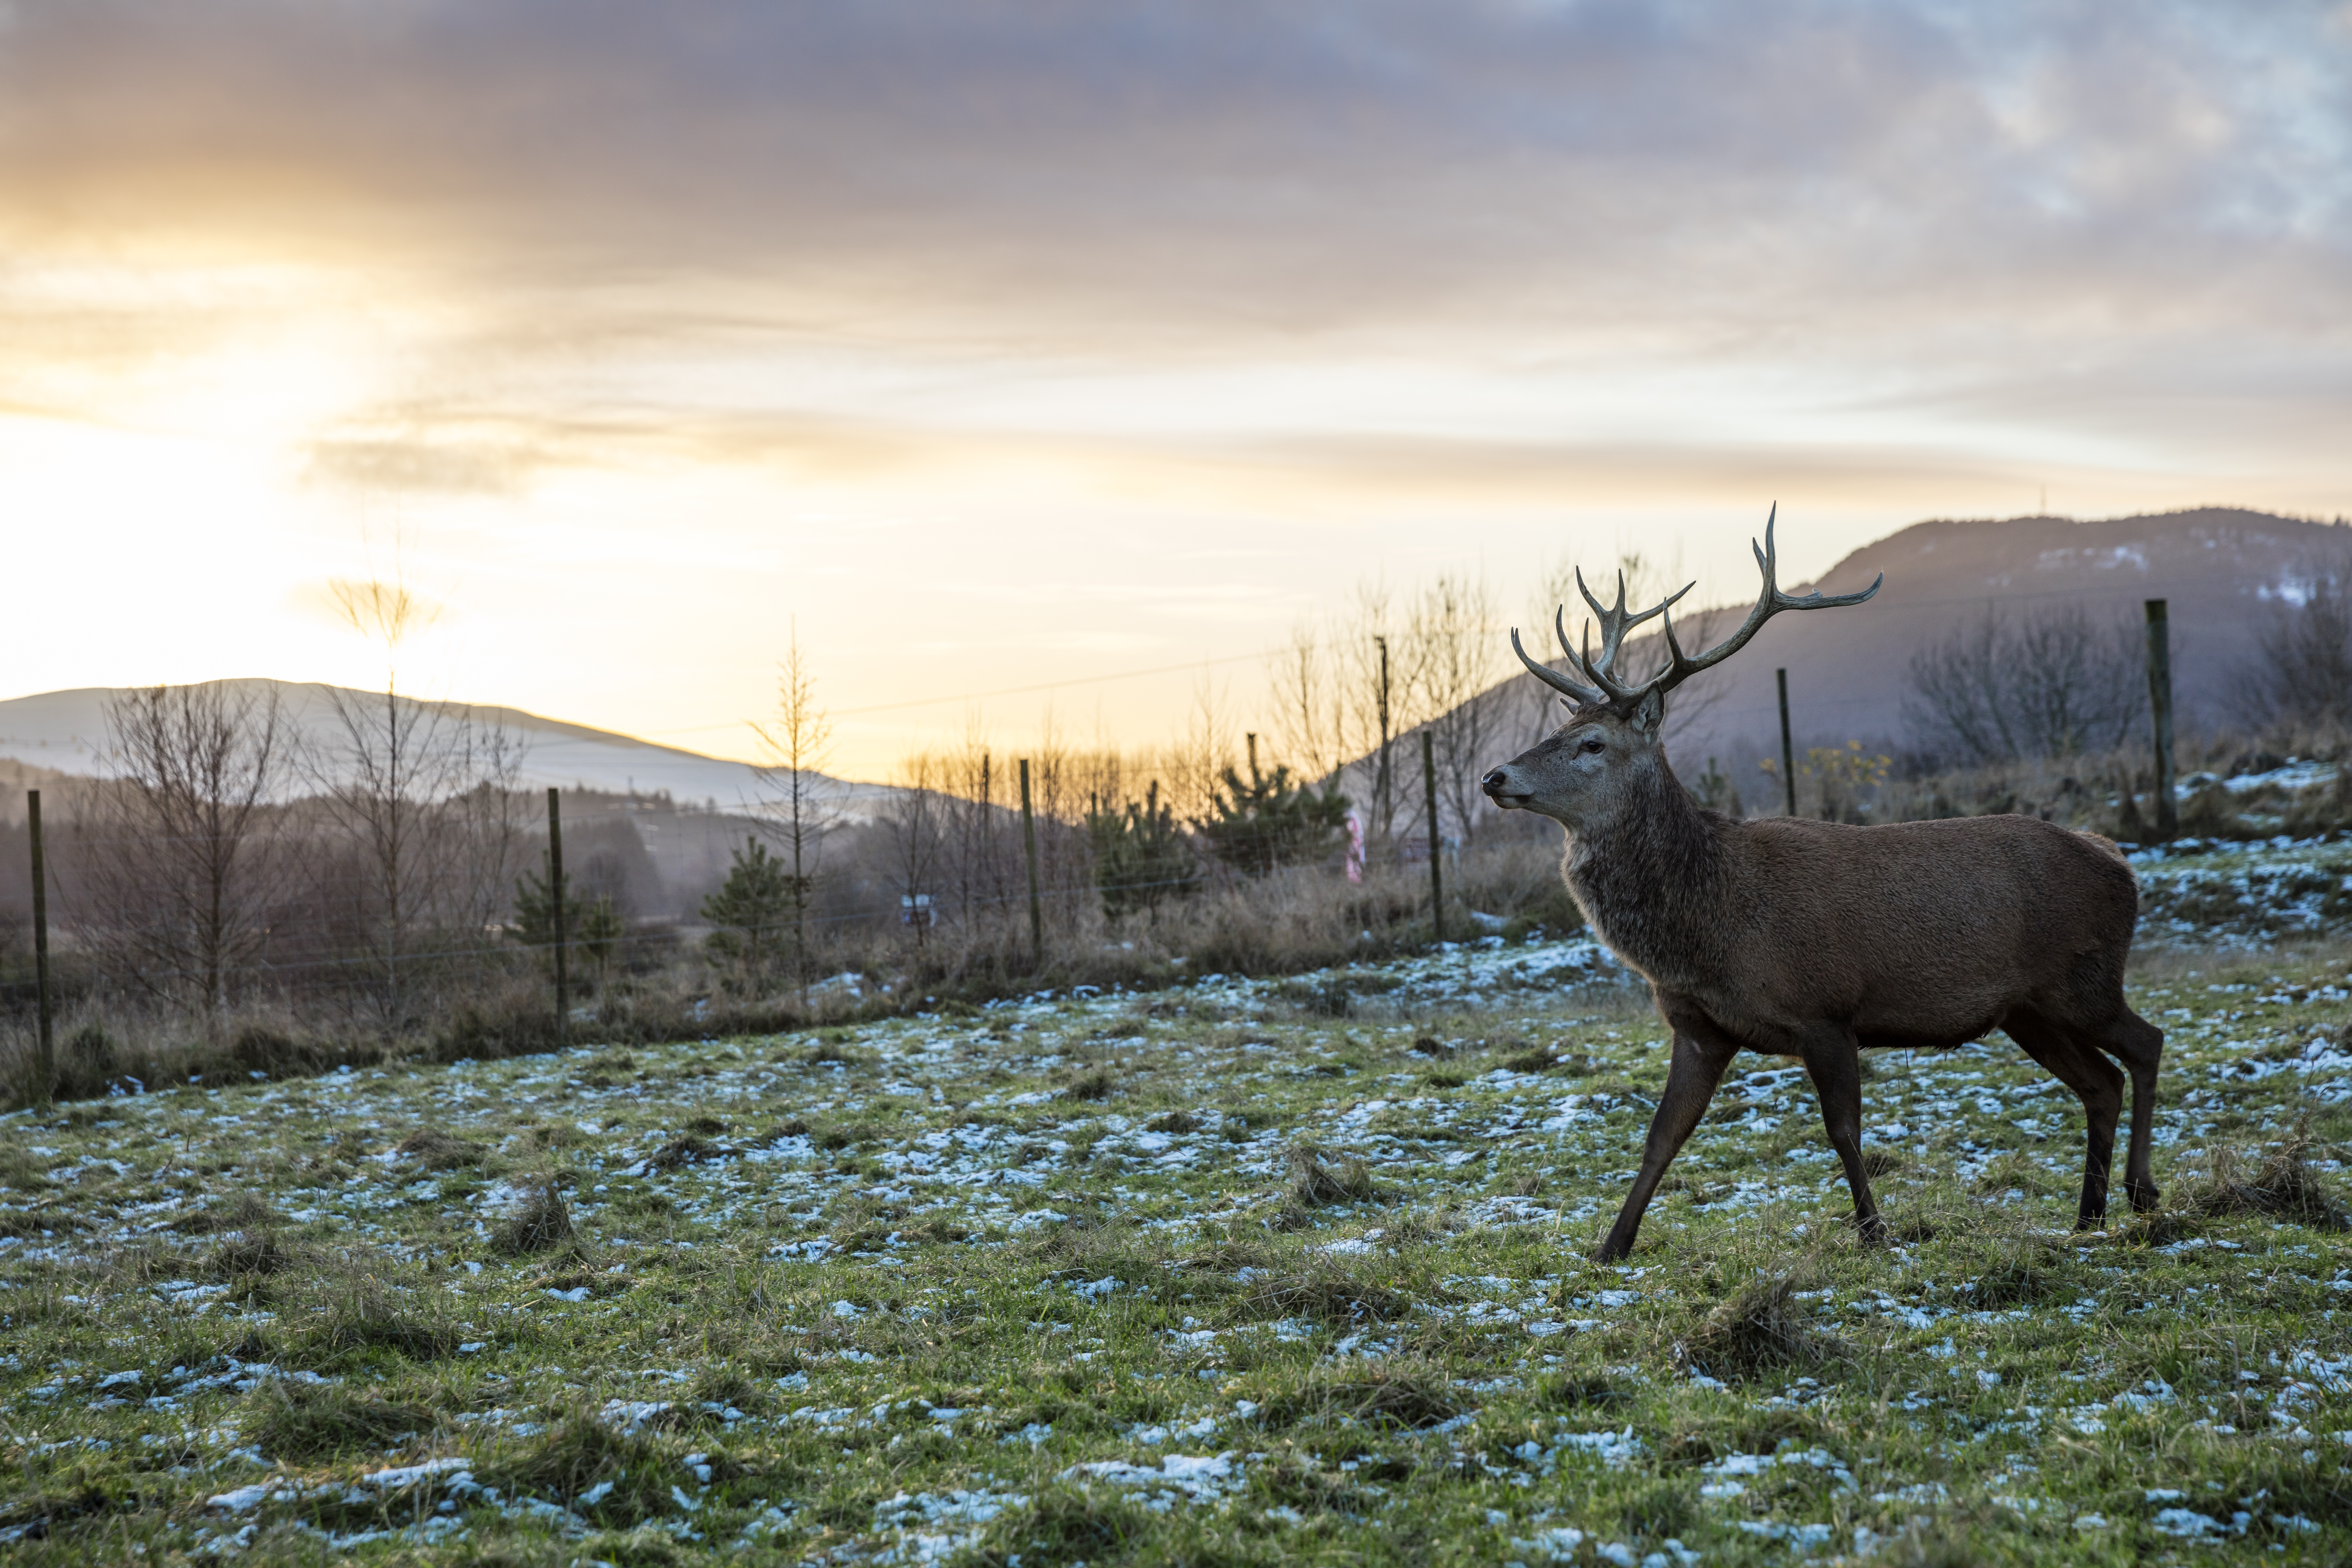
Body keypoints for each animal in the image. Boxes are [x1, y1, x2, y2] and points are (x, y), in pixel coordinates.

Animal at [1481, 510, 2163, 1262]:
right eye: (1559, 727)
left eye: (1592, 744)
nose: (1495, 776)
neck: (1710, 926)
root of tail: (2118, 861)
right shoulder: (1700, 1028)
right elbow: (1661, 1137)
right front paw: (1611, 1247)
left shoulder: (1825, 1009)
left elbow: (1841, 1131)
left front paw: (1873, 1230)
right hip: (2027, 1009)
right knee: (2100, 1081)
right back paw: (2087, 1214)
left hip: (2083, 977)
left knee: (2146, 1044)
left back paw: (2139, 1191)